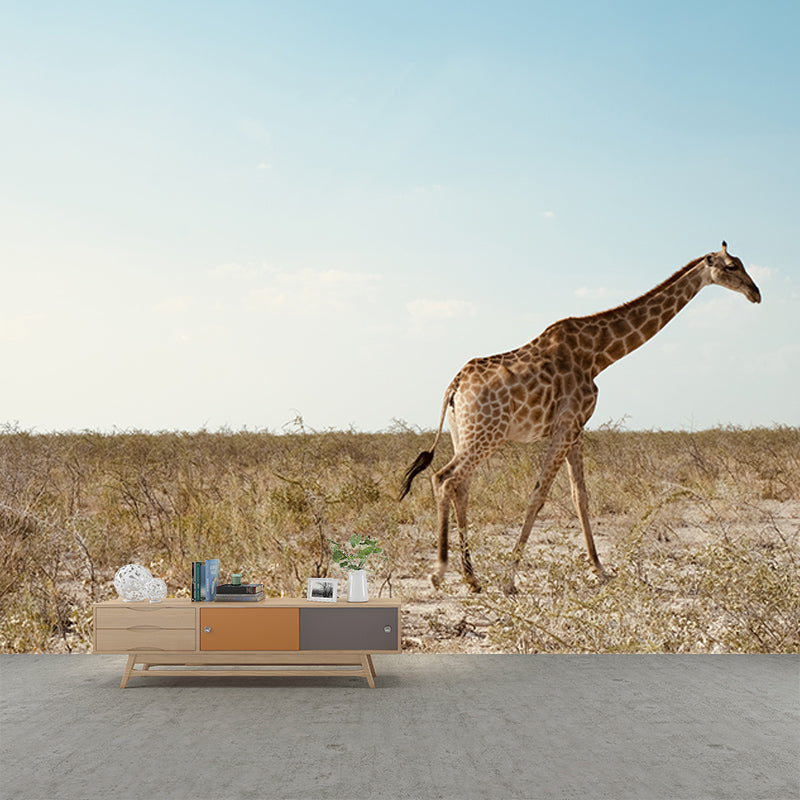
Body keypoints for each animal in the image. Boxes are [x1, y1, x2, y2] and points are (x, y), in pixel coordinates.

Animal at [399, 242, 761, 595]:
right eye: (732, 266)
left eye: (743, 263)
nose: (755, 293)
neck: (599, 355)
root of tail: (454, 387)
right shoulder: (567, 423)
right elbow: (539, 494)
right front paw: (511, 579)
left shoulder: (576, 428)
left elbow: (580, 497)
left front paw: (600, 570)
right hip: (486, 434)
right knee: (444, 479)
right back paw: (440, 572)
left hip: (463, 434)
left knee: (460, 486)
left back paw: (471, 578)